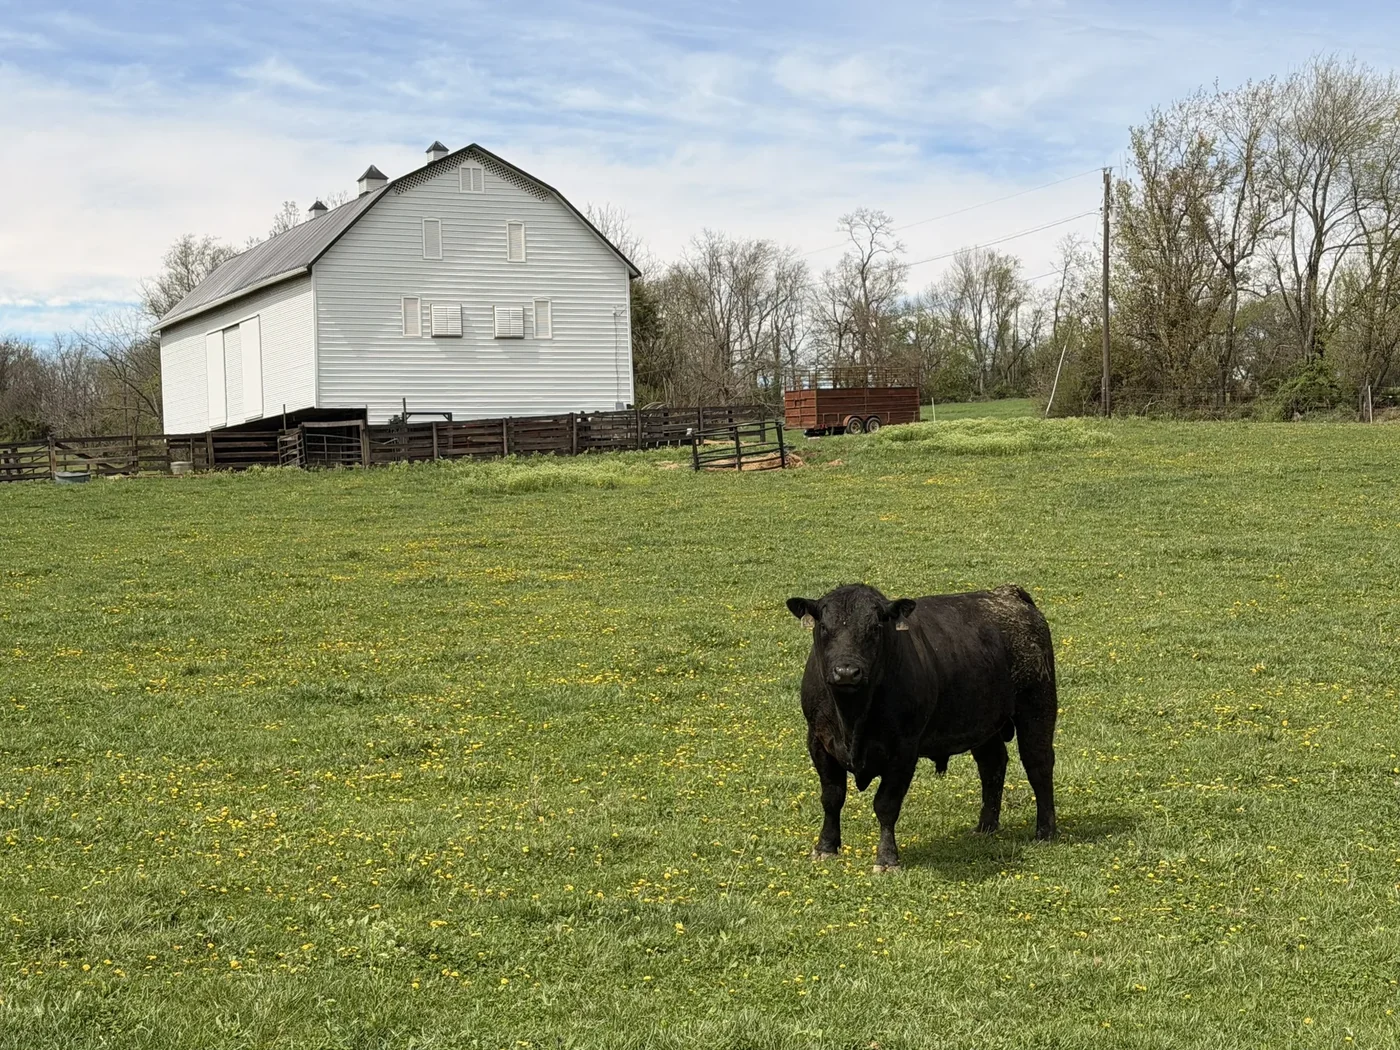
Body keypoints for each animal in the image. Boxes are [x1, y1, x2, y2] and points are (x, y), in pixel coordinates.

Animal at [786, 583, 1058, 872]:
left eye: (875, 627)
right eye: (824, 627)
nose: (846, 672)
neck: (852, 717)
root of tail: (1006, 592)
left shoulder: (904, 749)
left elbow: (886, 805)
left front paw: (887, 859)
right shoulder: (818, 741)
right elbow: (832, 797)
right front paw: (825, 847)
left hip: (1037, 706)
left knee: (1038, 764)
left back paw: (1045, 832)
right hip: (983, 722)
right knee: (992, 765)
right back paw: (985, 827)